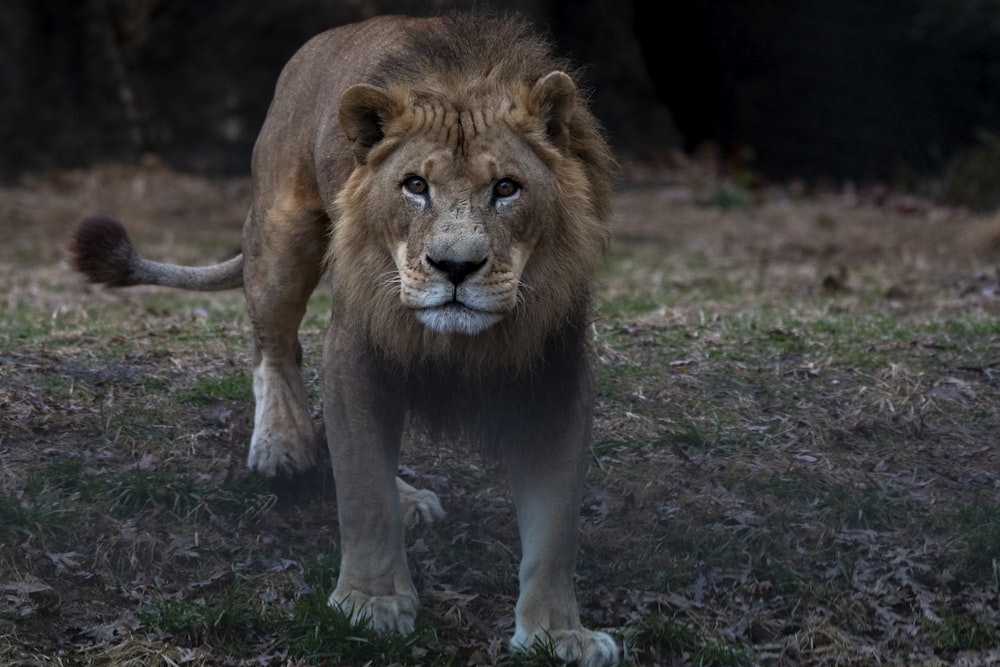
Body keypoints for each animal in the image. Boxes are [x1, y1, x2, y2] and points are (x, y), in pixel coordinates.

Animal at [68, 11, 616, 667]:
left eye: (506, 189)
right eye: (415, 186)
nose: (455, 267)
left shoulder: (557, 375)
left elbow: (556, 526)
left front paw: (559, 635)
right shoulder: (355, 351)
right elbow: (362, 491)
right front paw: (371, 604)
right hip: (280, 238)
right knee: (273, 345)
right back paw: (282, 445)